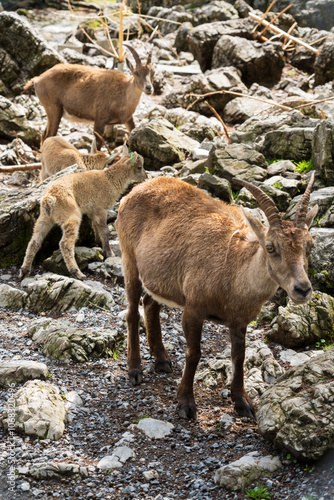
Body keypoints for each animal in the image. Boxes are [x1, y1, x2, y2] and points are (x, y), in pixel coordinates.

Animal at [19, 150, 146, 282]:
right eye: (139, 166)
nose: (145, 177)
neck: (110, 180)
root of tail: (49, 199)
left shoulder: (92, 212)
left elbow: (96, 227)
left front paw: (97, 242)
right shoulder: (100, 209)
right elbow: (104, 231)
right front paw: (109, 253)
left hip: (44, 219)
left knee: (34, 242)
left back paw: (24, 271)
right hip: (71, 216)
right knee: (65, 244)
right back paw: (77, 273)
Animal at [22, 45, 154, 148]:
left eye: (152, 72)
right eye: (136, 72)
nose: (149, 88)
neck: (122, 94)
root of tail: (37, 79)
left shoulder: (128, 119)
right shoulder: (99, 119)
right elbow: (97, 147)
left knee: (44, 135)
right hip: (53, 109)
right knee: (49, 135)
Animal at [117, 172, 318, 418]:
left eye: (310, 246)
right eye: (270, 247)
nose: (302, 289)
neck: (233, 271)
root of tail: (134, 190)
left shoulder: (240, 321)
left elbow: (239, 356)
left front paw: (243, 402)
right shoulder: (193, 310)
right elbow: (193, 353)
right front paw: (186, 403)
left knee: (149, 303)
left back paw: (162, 359)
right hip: (129, 259)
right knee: (132, 313)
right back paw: (135, 370)